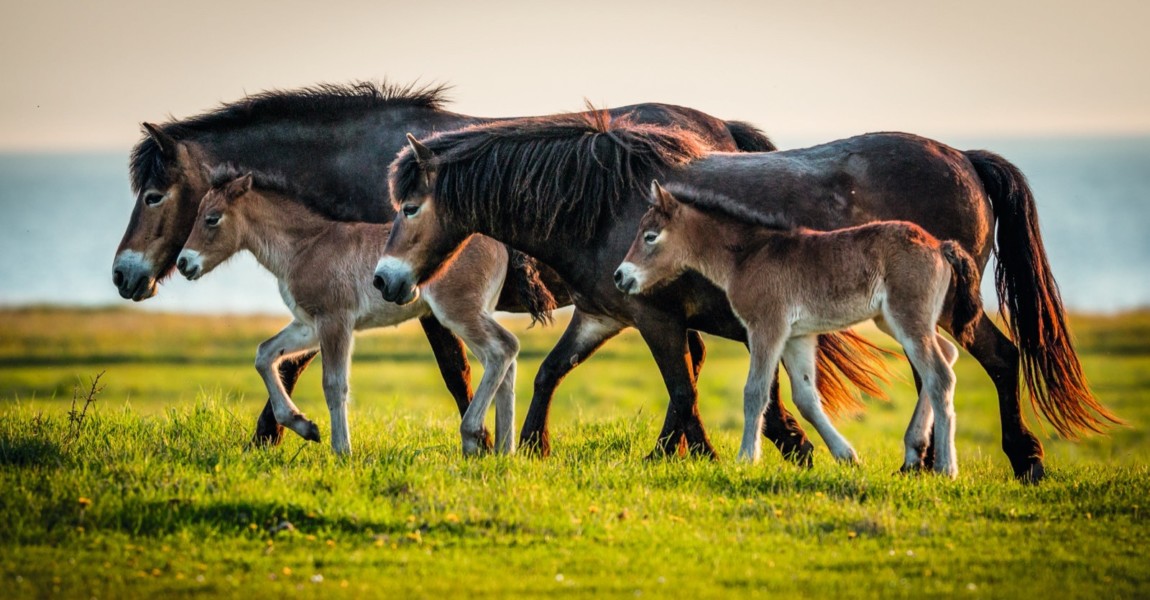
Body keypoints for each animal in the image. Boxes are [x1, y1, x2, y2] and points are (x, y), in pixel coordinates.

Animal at [114, 80, 864, 457]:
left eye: (154, 195)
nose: (124, 275)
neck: (359, 163)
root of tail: (722, 131)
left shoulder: (402, 297)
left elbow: (453, 372)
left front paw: (275, 435)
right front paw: (277, 434)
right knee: (697, 361)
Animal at [616, 179, 984, 473]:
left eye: (650, 236)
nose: (620, 276)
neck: (748, 256)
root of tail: (939, 245)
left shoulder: (767, 327)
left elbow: (755, 391)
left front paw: (747, 458)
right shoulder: (799, 336)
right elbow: (806, 397)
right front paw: (846, 455)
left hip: (907, 317)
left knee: (939, 375)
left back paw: (945, 467)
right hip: (893, 320)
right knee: (947, 354)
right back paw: (912, 452)